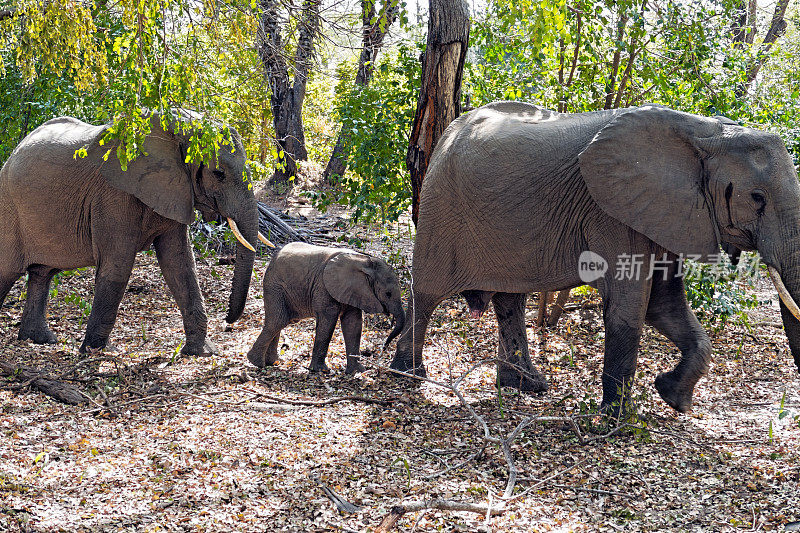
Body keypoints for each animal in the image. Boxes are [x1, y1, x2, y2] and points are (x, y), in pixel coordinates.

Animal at [0, 111, 272, 354]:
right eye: (218, 174)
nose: (228, 321)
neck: (176, 125)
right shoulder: (113, 194)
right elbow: (118, 266)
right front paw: (97, 351)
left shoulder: (174, 190)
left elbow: (181, 265)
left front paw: (202, 352)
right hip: (9, 209)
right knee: (8, 272)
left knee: (42, 273)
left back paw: (39, 340)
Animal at [248, 242, 406, 374]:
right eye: (388, 294)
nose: (384, 348)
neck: (365, 261)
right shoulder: (324, 287)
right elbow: (328, 321)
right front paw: (321, 371)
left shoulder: (354, 290)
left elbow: (353, 324)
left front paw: (357, 371)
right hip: (275, 286)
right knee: (278, 320)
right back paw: (256, 362)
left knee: (281, 321)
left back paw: (272, 362)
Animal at [390, 102, 800, 414]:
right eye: (757, 198)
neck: (705, 132)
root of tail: (448, 131)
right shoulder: (612, 211)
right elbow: (629, 307)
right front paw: (617, 419)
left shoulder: (667, 212)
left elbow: (664, 304)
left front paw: (672, 396)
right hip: (441, 206)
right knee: (427, 295)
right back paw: (407, 374)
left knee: (510, 299)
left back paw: (528, 385)